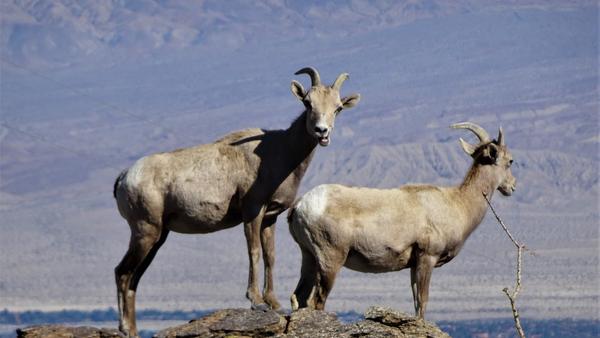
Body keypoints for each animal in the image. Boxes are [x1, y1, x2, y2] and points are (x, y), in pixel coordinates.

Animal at [113, 67, 360, 336]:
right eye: (308, 103)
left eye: (338, 108)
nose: (321, 131)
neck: (280, 153)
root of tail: (125, 177)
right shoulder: (252, 212)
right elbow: (254, 252)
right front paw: (256, 302)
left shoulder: (269, 218)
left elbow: (270, 255)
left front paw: (273, 302)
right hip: (145, 231)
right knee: (122, 273)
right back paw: (126, 329)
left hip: (157, 237)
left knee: (134, 279)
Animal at [286, 123, 516, 318]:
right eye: (510, 161)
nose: (512, 186)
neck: (457, 203)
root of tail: (300, 206)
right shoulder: (427, 258)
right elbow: (422, 302)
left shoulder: (414, 265)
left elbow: (416, 301)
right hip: (330, 260)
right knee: (317, 300)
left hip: (309, 257)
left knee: (299, 297)